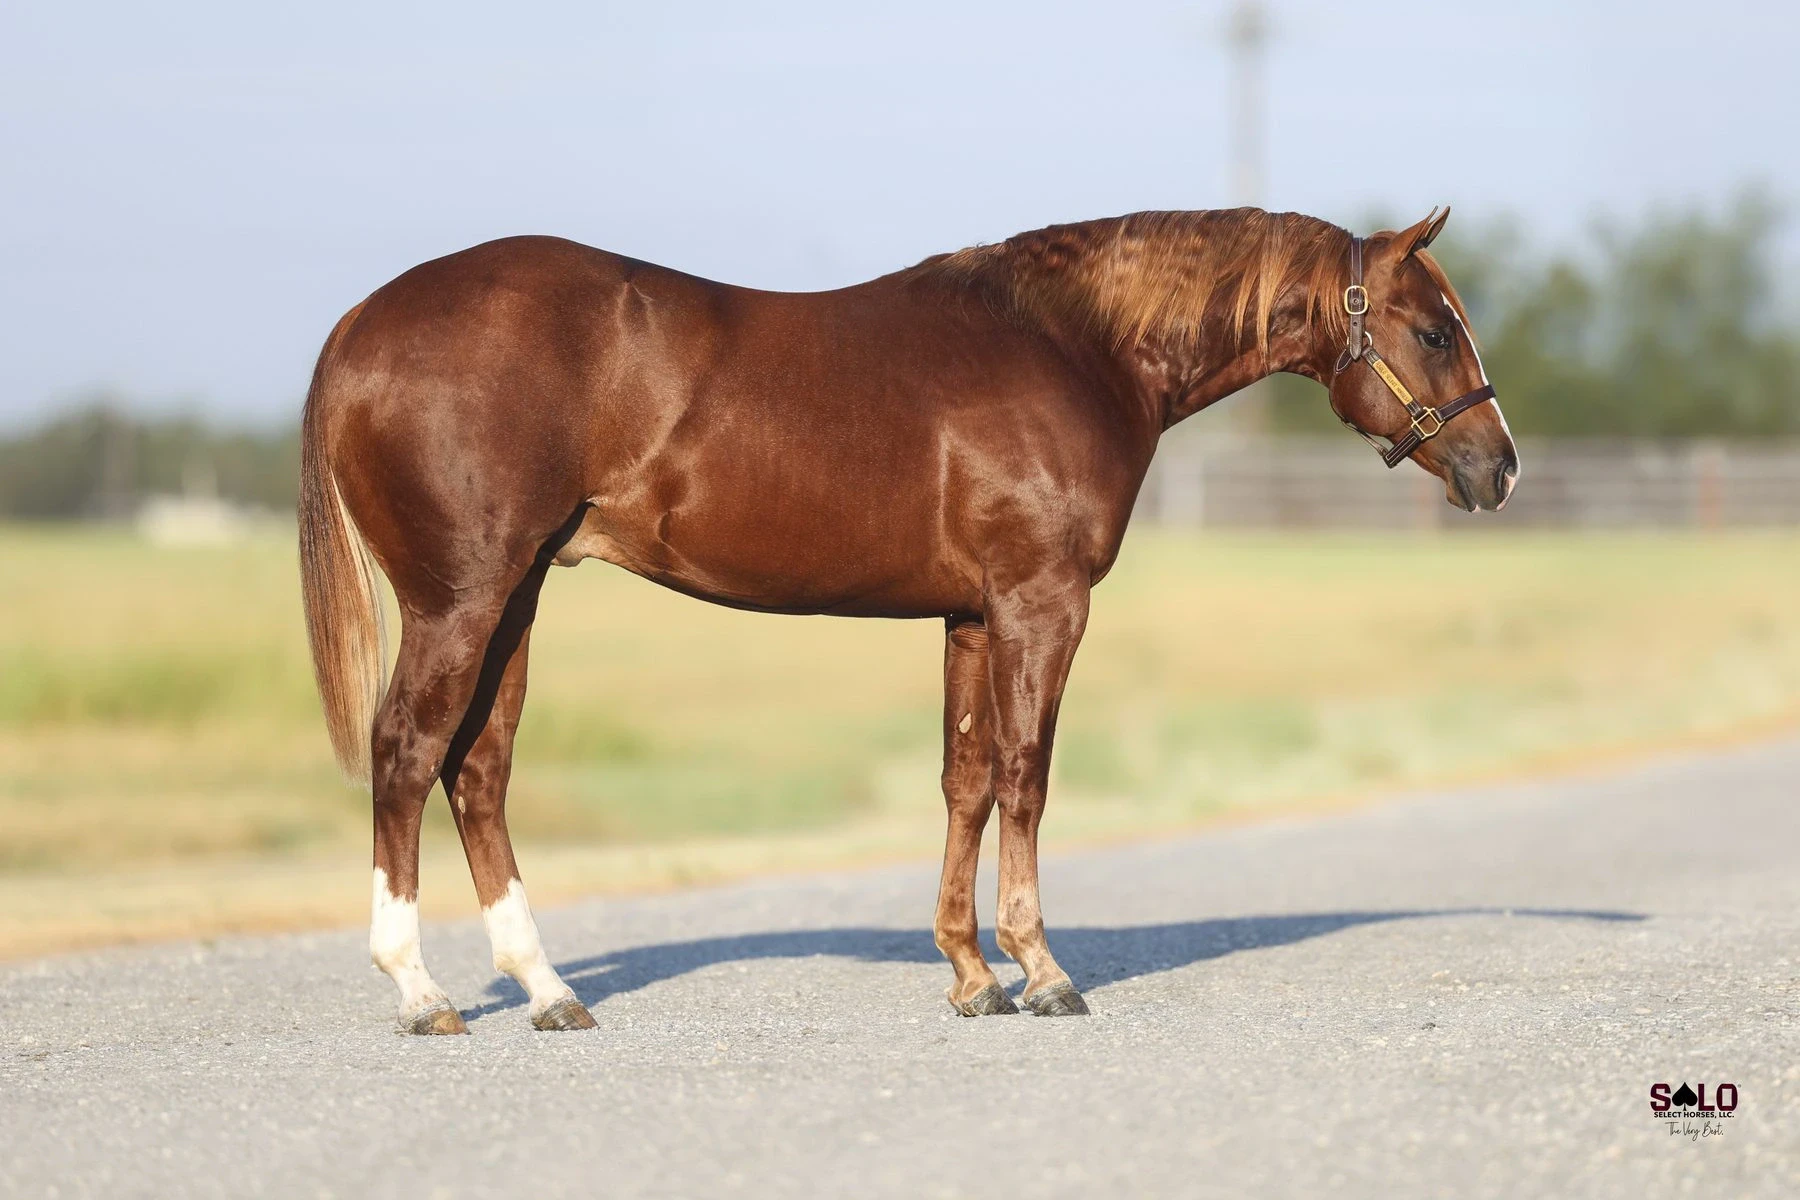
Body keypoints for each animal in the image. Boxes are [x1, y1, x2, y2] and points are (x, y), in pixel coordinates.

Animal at [299, 205, 1518, 1033]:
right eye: (1433, 330)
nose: (1498, 467)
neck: (1073, 349)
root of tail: (360, 322)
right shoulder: (1040, 603)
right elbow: (1026, 773)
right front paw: (1042, 970)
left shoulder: (970, 617)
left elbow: (965, 780)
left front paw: (973, 975)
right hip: (462, 599)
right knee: (408, 753)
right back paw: (419, 991)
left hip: (516, 596)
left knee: (479, 770)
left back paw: (547, 990)